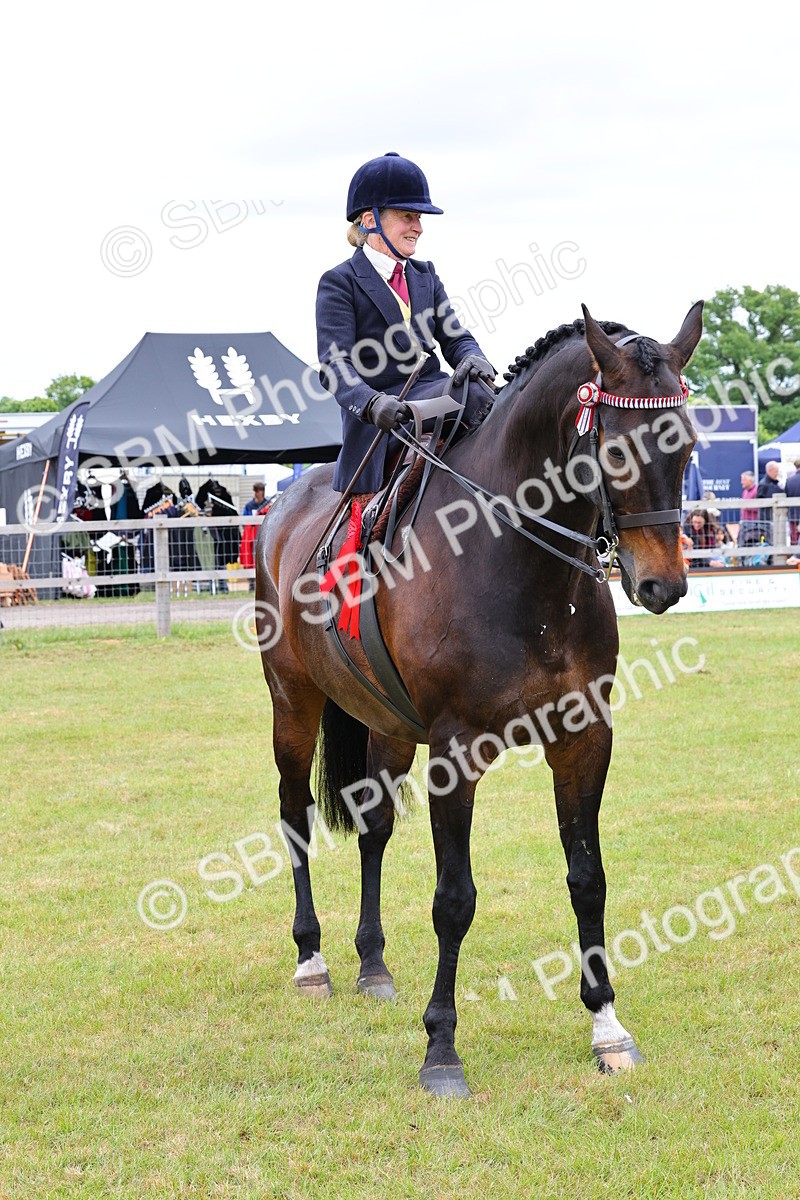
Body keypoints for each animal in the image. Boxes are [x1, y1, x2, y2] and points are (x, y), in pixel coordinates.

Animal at [255, 302, 703, 1098]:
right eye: (616, 451)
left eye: (685, 446)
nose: (663, 585)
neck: (519, 563)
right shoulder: (455, 751)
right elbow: (453, 899)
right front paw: (441, 1050)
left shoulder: (584, 738)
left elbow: (588, 879)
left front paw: (607, 1027)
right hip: (293, 704)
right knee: (294, 817)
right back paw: (313, 959)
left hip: (387, 724)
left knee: (373, 829)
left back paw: (372, 963)